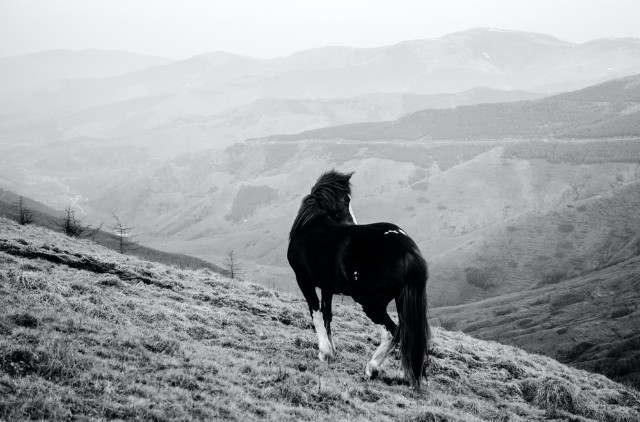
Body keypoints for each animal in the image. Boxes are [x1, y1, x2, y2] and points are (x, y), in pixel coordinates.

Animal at [287, 170, 430, 390]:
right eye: (346, 200)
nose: (351, 223)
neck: (311, 226)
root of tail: (408, 250)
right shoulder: (328, 287)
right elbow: (327, 315)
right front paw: (332, 351)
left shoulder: (304, 280)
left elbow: (316, 313)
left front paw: (324, 353)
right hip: (401, 300)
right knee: (408, 335)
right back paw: (404, 374)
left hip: (371, 303)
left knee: (393, 333)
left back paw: (372, 368)